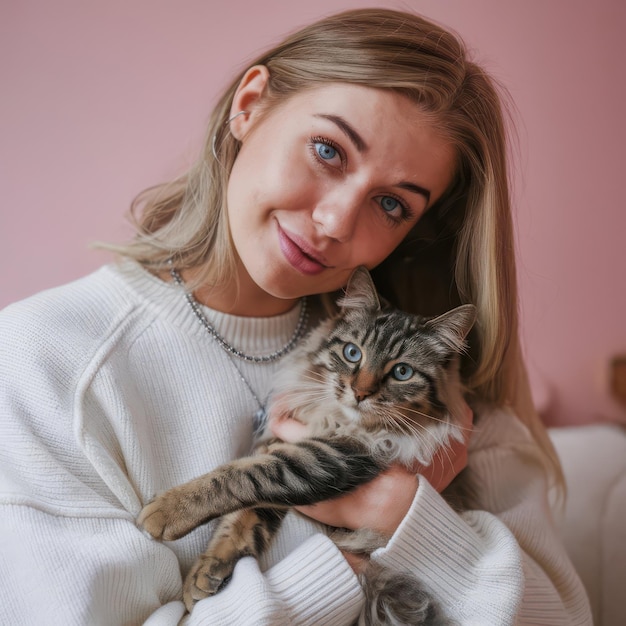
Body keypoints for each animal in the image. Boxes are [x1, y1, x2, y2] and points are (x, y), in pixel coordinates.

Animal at [140, 266, 472, 620]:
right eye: (352, 353)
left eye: (402, 372)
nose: (361, 393)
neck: (335, 419)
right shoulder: (279, 445)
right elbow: (243, 518)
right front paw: (206, 573)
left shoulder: (329, 458)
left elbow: (238, 477)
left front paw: (166, 511)